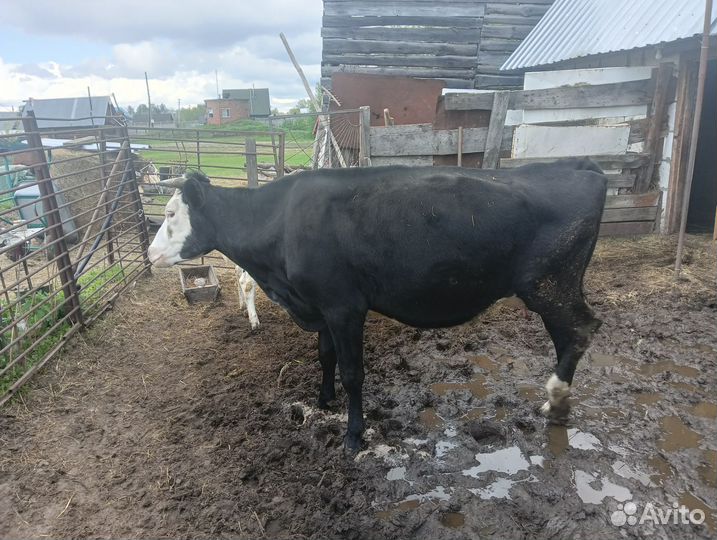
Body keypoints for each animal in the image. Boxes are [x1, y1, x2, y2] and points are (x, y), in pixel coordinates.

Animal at [148, 159, 607, 451]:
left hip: (550, 284)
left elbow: (353, 373)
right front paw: (323, 400)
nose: (149, 255)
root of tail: (576, 166)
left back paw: (556, 401)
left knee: (580, 330)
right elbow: (325, 356)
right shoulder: (323, 307)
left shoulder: (344, 306)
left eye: (170, 213)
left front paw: (353, 436)